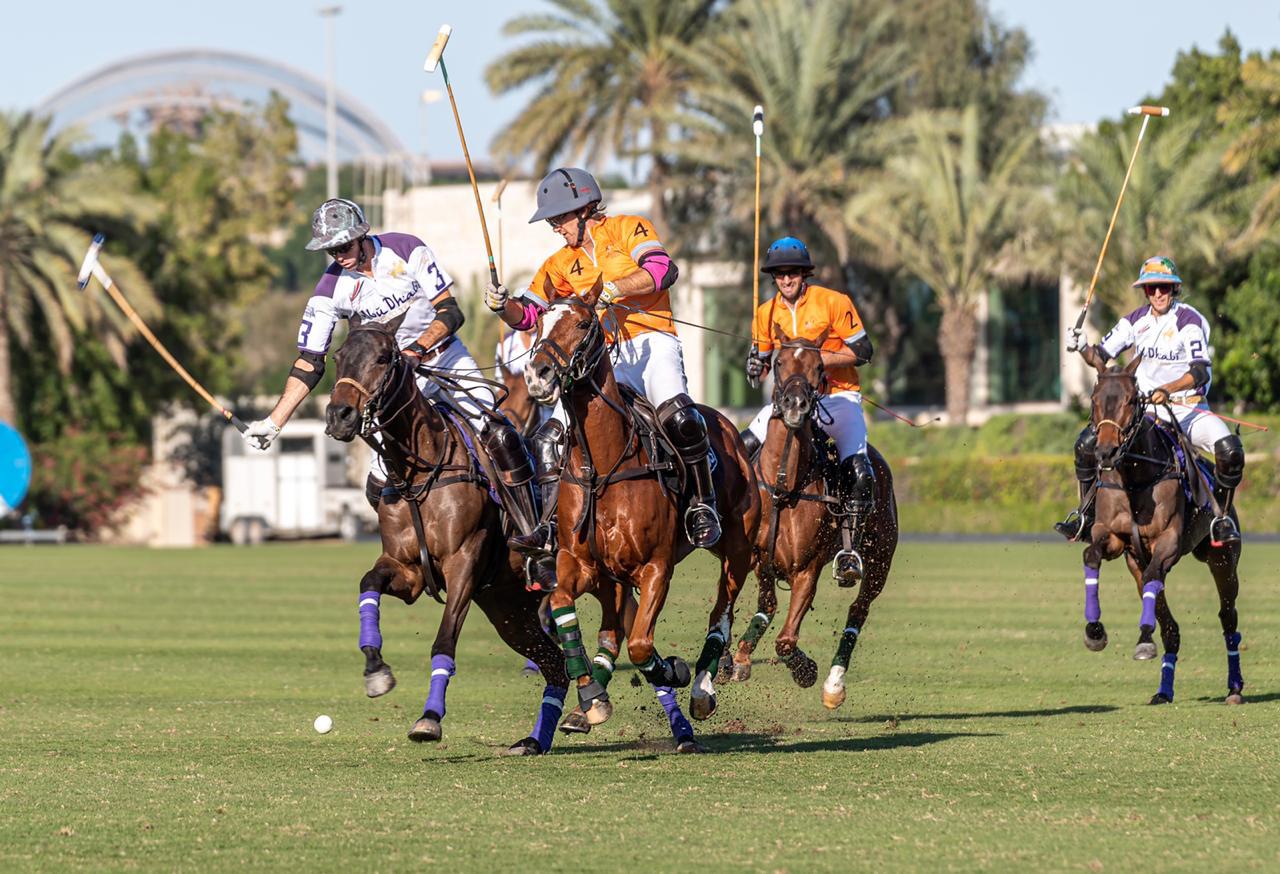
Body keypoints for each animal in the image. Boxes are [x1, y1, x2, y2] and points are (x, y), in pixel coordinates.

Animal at [325, 319, 570, 752]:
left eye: (383, 358)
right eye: (337, 357)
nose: (340, 414)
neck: (421, 472)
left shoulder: (464, 563)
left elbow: (443, 642)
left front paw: (429, 718)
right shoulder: (407, 569)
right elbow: (368, 583)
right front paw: (376, 670)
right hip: (509, 610)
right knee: (557, 664)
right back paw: (539, 737)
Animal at [522, 289, 757, 731]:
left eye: (583, 323)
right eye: (539, 323)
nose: (537, 374)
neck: (605, 465)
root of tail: (727, 425)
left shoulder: (656, 567)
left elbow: (642, 645)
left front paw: (674, 670)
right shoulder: (581, 564)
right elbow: (563, 604)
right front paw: (589, 695)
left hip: (737, 548)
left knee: (721, 614)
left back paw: (702, 689)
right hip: (612, 576)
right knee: (611, 633)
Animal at [732, 335, 901, 711]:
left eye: (819, 366)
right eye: (778, 363)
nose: (796, 405)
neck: (784, 485)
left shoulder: (806, 569)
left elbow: (785, 640)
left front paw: (805, 670)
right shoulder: (761, 562)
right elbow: (766, 608)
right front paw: (737, 660)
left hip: (879, 559)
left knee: (858, 610)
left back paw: (834, 685)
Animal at [1075, 355, 1244, 706]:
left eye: (1130, 400)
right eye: (1094, 400)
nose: (1105, 452)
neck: (1135, 475)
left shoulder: (1168, 543)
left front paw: (1142, 640)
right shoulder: (1114, 539)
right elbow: (1091, 556)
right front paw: (1095, 631)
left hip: (1223, 560)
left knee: (1228, 619)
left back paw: (1234, 688)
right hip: (1135, 563)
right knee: (1171, 628)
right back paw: (1164, 690)